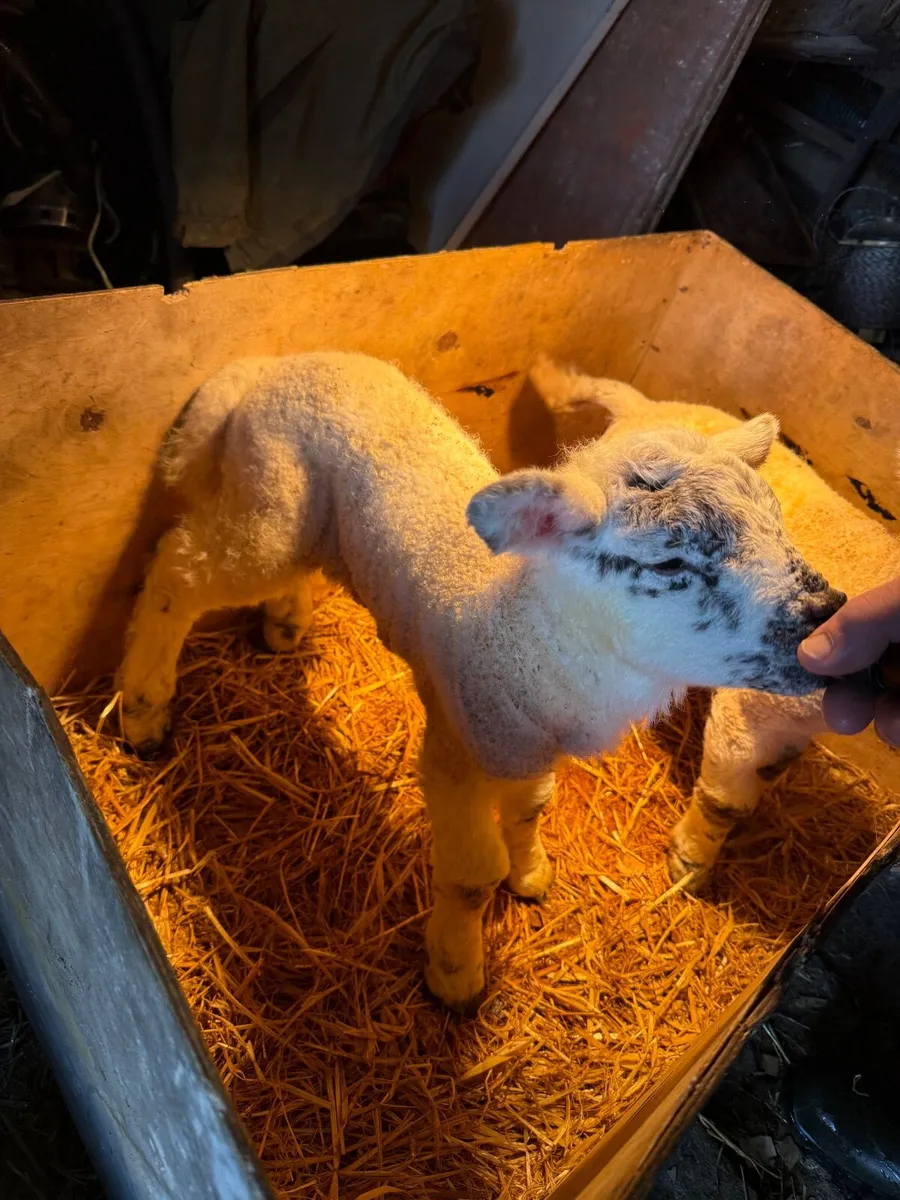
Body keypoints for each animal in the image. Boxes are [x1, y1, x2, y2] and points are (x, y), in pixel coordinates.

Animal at [118, 351, 845, 1009]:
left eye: (779, 524)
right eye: (669, 562)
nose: (826, 614)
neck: (517, 627)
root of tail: (271, 363)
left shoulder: (522, 740)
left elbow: (530, 807)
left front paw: (530, 872)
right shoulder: (457, 750)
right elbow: (471, 877)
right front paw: (456, 974)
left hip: (297, 517)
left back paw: (283, 622)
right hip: (271, 502)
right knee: (178, 569)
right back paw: (144, 710)